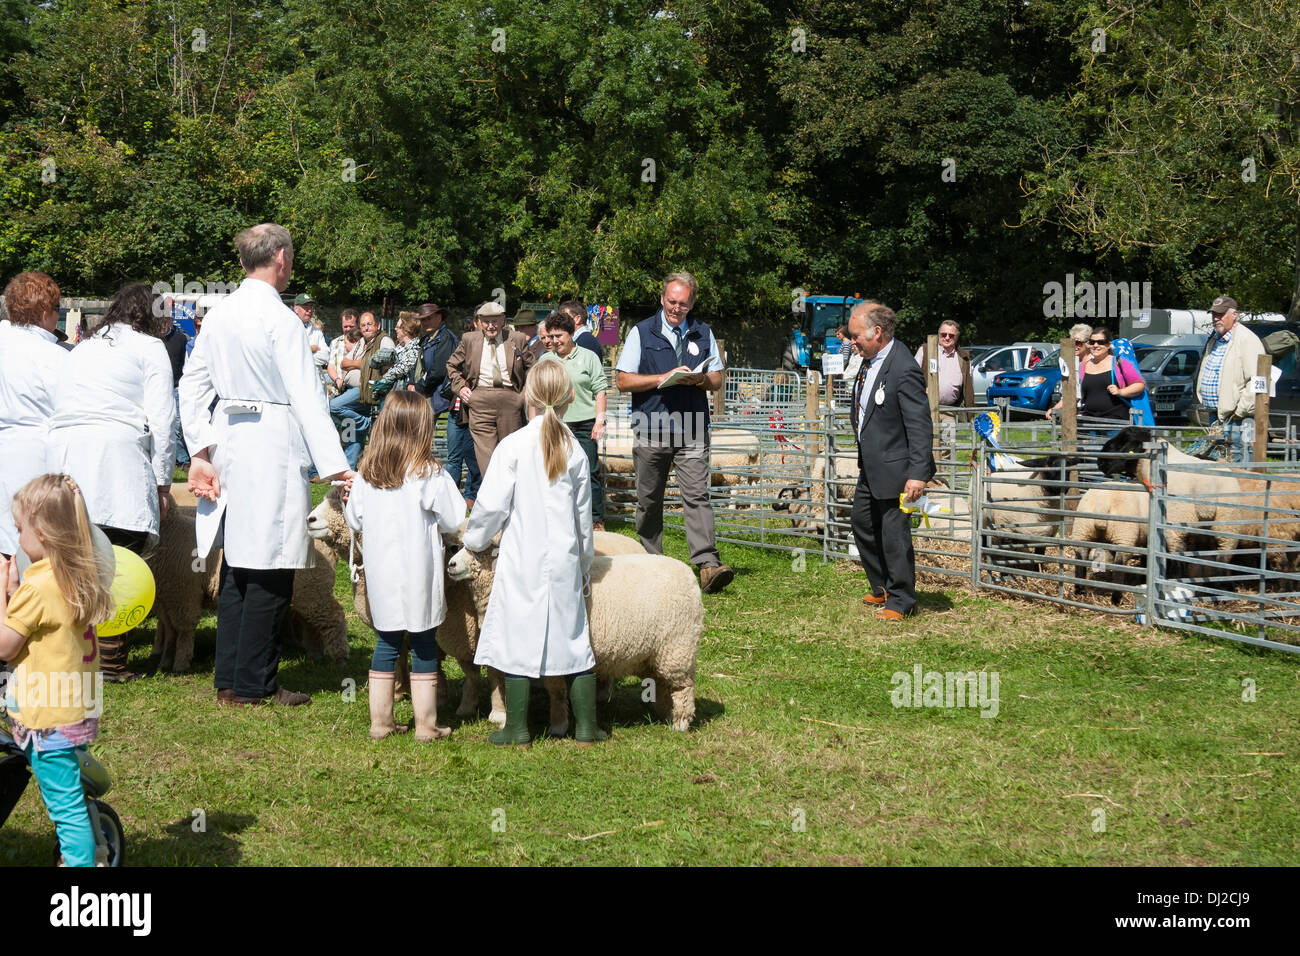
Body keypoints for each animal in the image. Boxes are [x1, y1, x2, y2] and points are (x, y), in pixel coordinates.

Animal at [449, 546, 712, 733]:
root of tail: (689, 578)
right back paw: (666, 714)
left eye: (479, 552)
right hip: (656, 653)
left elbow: (556, 691)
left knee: (684, 688)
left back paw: (680, 724)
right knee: (664, 684)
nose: (451, 564)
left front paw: (558, 726)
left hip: (677, 648)